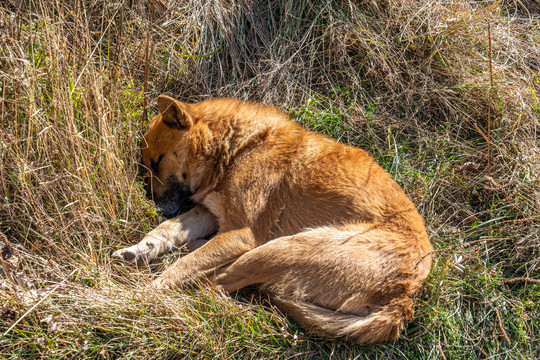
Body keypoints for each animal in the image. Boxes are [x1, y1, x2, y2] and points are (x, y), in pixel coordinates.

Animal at [113, 95, 430, 344]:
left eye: (156, 163)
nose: (152, 203)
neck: (238, 147)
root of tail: (403, 301)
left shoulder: (240, 233)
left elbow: (179, 271)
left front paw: (143, 297)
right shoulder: (210, 213)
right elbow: (167, 230)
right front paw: (141, 249)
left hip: (282, 249)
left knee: (215, 283)